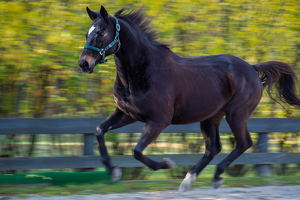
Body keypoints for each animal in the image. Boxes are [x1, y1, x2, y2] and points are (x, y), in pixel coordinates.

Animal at [78, 5, 300, 191]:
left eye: (101, 32)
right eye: (88, 33)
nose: (84, 64)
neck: (141, 72)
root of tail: (252, 68)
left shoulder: (158, 121)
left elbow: (137, 151)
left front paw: (166, 163)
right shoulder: (127, 114)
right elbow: (99, 131)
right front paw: (114, 171)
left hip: (236, 114)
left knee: (243, 143)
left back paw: (215, 176)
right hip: (211, 117)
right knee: (214, 147)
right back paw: (189, 179)